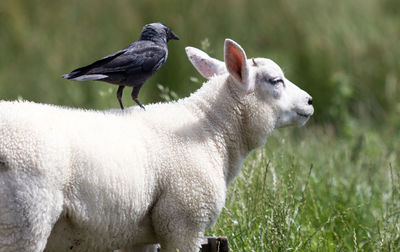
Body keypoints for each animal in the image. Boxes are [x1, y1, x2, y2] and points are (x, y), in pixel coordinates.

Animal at [0, 39, 312, 252]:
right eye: (276, 81)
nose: (309, 101)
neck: (213, 131)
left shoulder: (139, 236)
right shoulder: (184, 221)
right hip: (25, 219)